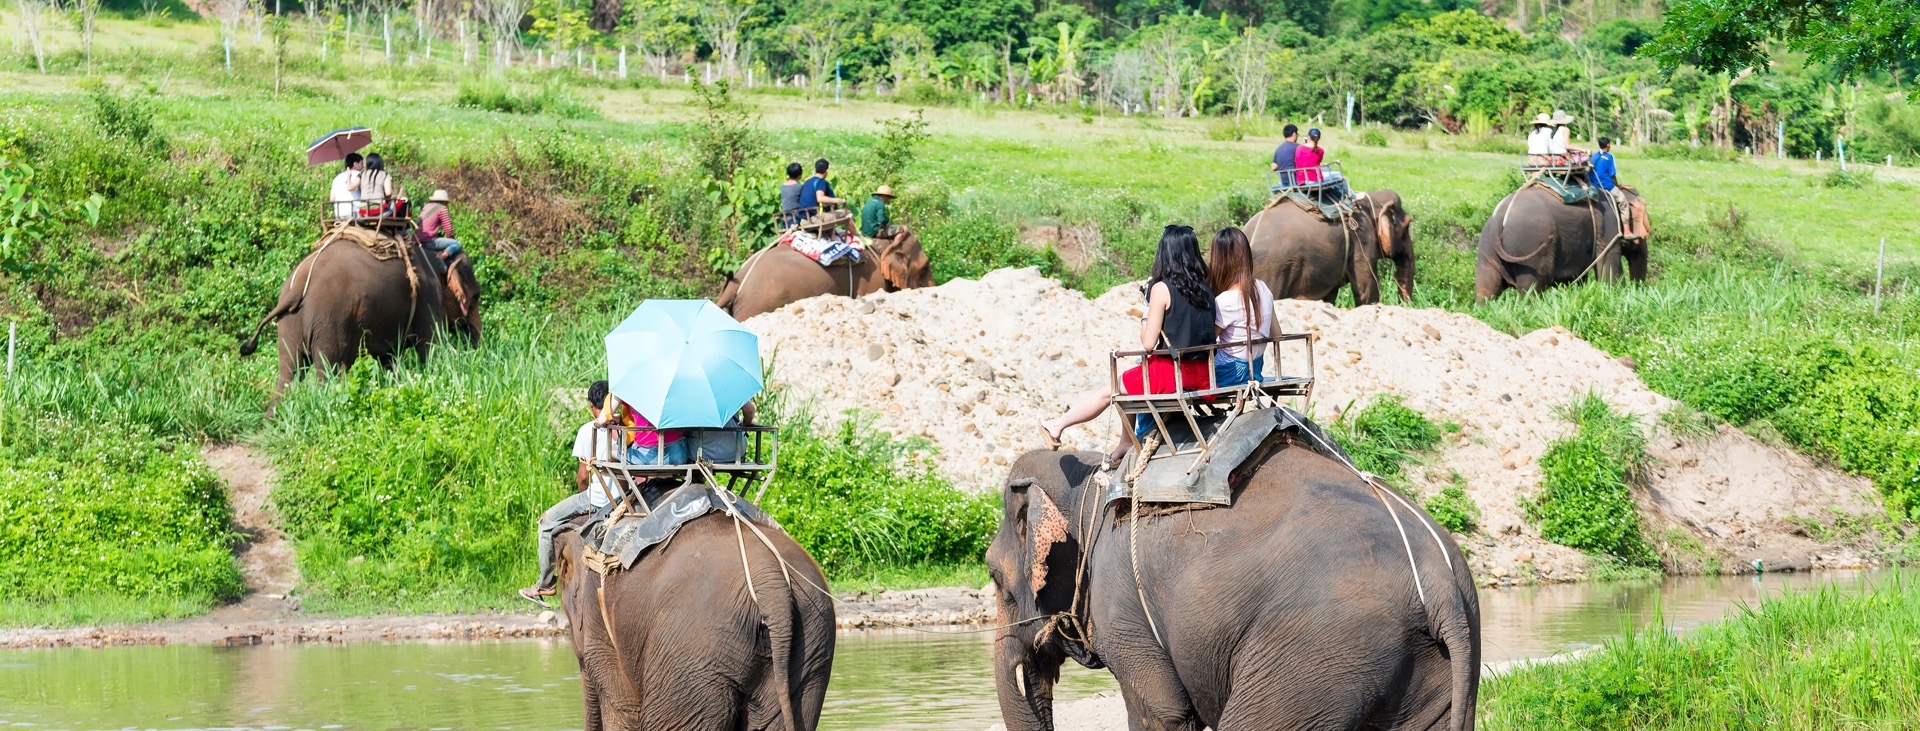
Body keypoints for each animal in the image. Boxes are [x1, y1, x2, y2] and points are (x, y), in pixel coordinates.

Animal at [990, 439, 1482, 729]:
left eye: (994, 576)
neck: (1090, 478)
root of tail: (1440, 585)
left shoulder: (1121, 607)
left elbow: (1162, 711)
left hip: (1319, 655)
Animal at [1236, 188, 1420, 306]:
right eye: (1407, 226)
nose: (1404, 304)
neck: (1372, 198)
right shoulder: (1362, 237)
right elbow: (1366, 288)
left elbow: (1329, 296)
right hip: (1274, 270)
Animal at [1474, 183, 1643, 301]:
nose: (1639, 289)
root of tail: (1499, 219)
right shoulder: (1608, 225)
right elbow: (1609, 268)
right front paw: (1616, 293)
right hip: (1530, 247)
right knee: (1532, 288)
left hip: (1486, 248)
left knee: (1486, 288)